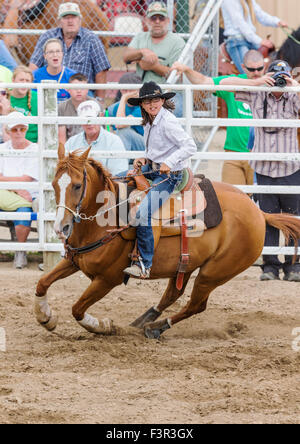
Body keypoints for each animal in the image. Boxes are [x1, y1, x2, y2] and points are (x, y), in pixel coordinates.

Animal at [34, 144, 300, 338]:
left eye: (78, 185)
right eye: (55, 184)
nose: (61, 227)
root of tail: (259, 213)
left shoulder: (107, 279)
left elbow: (77, 309)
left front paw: (104, 326)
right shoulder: (74, 261)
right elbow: (42, 283)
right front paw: (45, 317)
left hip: (214, 272)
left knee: (195, 305)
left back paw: (155, 327)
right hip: (187, 264)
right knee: (172, 294)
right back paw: (143, 320)